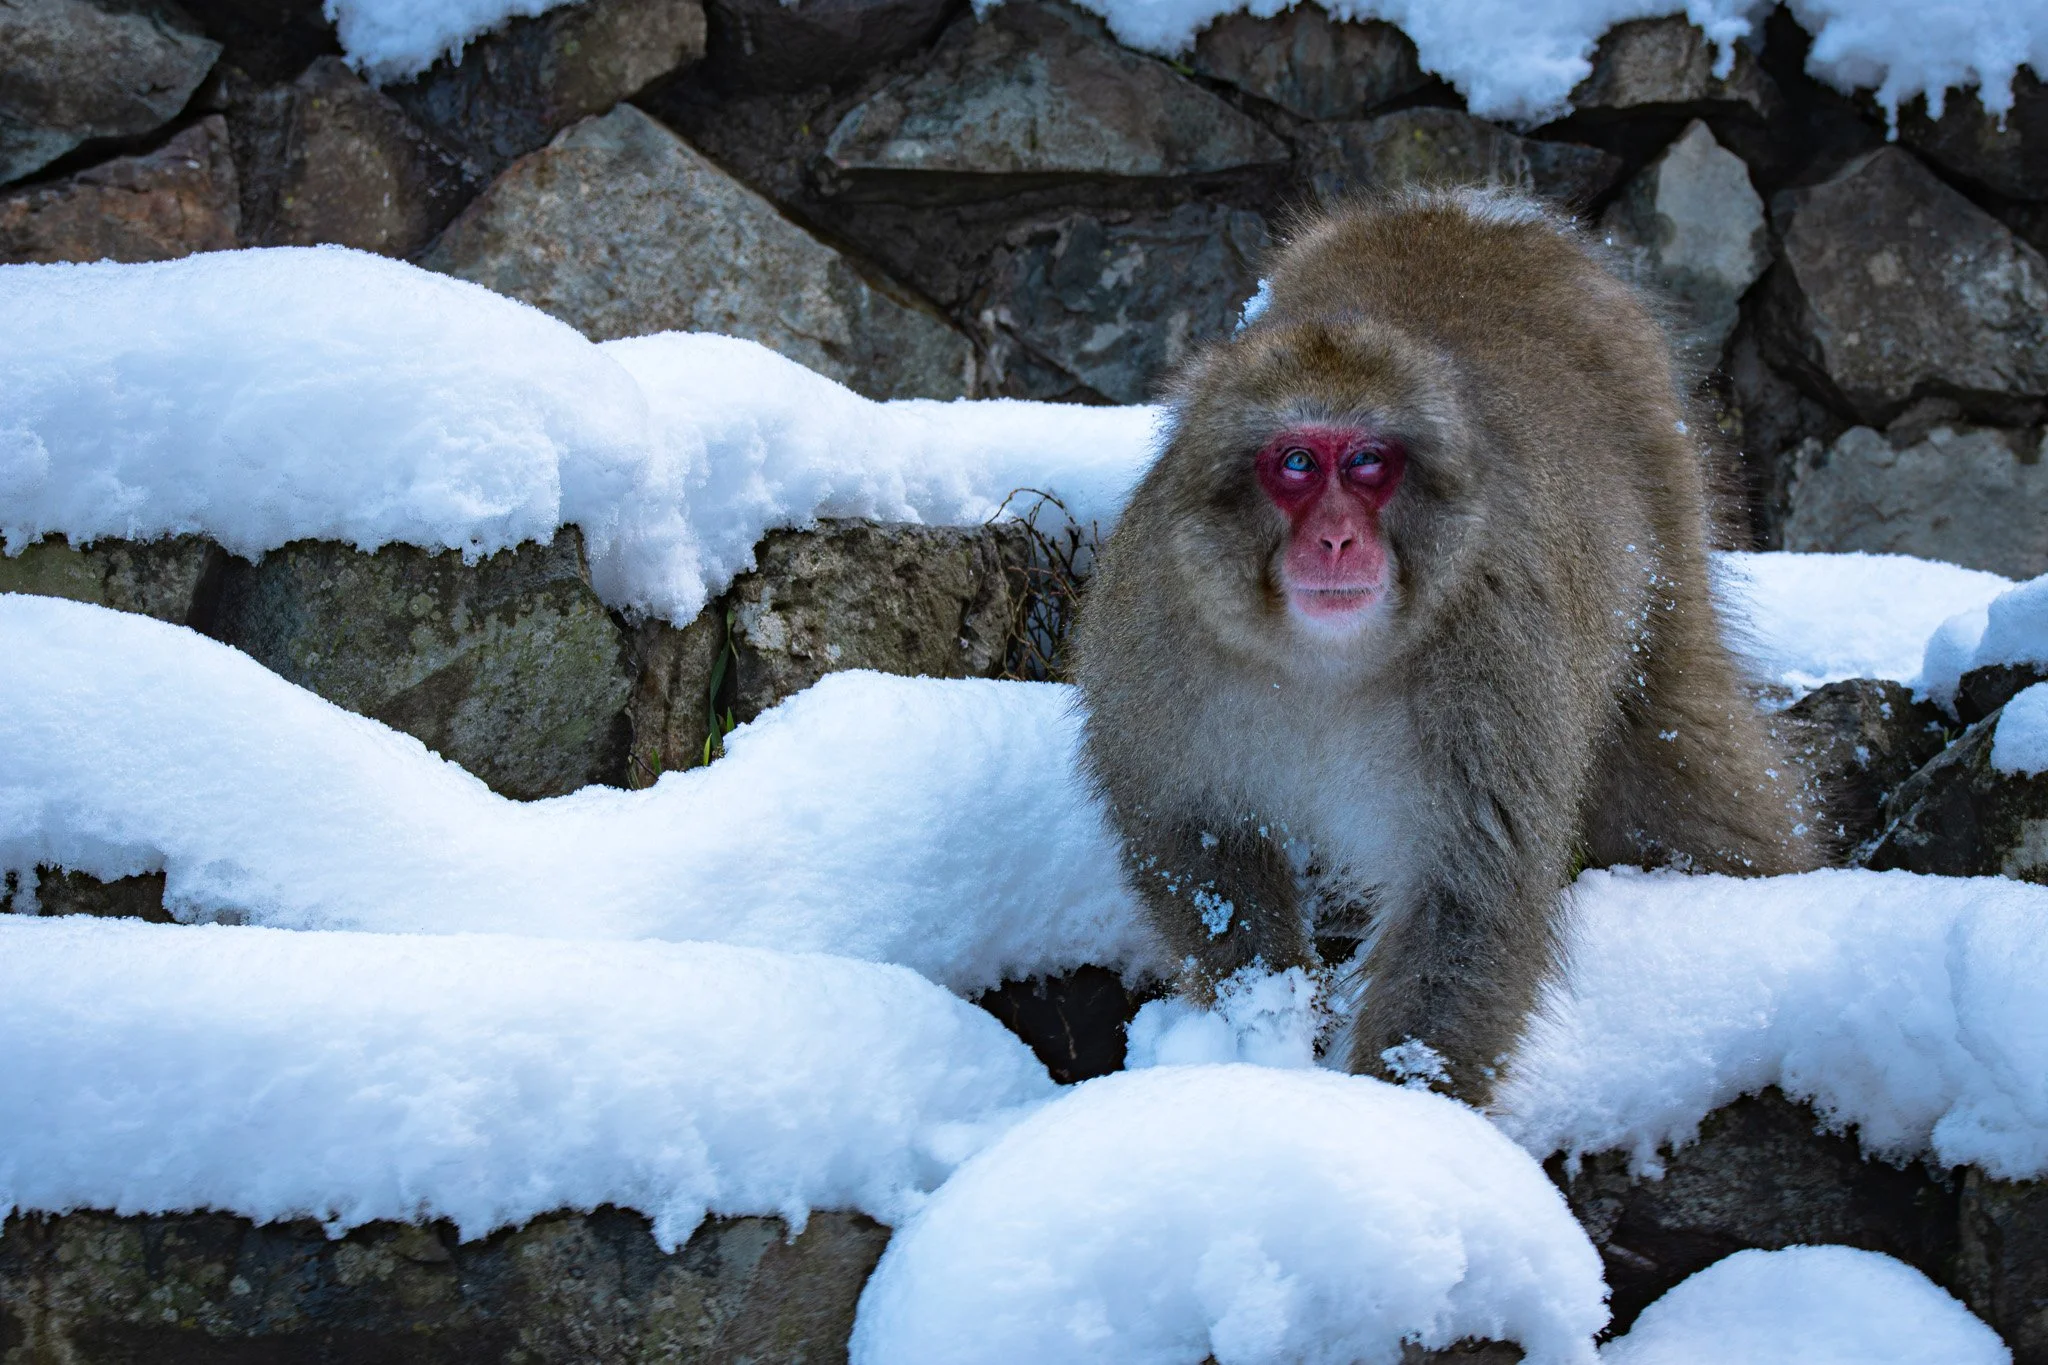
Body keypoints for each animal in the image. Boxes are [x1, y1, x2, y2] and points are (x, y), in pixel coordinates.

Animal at [1073, 188, 1820, 1107]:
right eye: (1296, 462)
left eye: (1367, 463)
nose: (1336, 540)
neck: (1325, 660)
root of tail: (1471, 211)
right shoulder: (1157, 614)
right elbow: (1194, 833)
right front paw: (1267, 1032)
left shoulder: (1496, 643)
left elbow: (1468, 890)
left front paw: (1405, 1112)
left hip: (1665, 501)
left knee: (1675, 737)